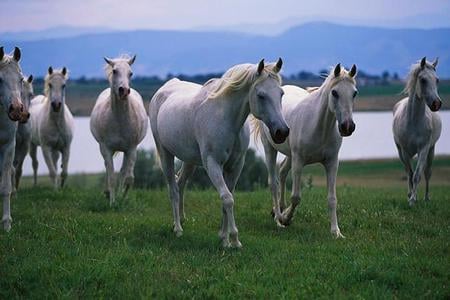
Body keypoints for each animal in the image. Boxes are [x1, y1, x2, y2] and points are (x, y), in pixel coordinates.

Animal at [89, 55, 148, 205]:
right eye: (114, 71)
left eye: (130, 73)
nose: (124, 91)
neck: (119, 120)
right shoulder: (106, 149)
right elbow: (111, 177)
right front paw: (112, 202)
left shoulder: (131, 149)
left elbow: (128, 178)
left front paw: (123, 198)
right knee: (108, 171)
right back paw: (107, 193)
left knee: (122, 172)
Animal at [148, 59, 288, 248]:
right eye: (261, 95)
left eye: (281, 94)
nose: (282, 132)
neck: (227, 119)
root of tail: (163, 90)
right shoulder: (212, 164)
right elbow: (227, 198)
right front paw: (234, 239)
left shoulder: (235, 166)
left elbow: (227, 200)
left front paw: (224, 238)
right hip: (165, 154)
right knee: (173, 189)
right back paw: (178, 229)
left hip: (189, 161)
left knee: (180, 182)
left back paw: (182, 220)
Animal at [255, 63, 356, 239]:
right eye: (335, 92)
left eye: (354, 93)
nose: (347, 127)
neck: (319, 126)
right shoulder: (299, 162)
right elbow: (296, 197)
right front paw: (286, 219)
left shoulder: (332, 163)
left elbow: (332, 199)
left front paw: (336, 232)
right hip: (271, 149)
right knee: (273, 182)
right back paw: (278, 217)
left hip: (290, 155)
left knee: (282, 172)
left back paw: (280, 208)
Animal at [392, 56, 442, 206]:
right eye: (423, 80)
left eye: (437, 80)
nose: (437, 104)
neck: (413, 120)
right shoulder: (404, 151)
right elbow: (410, 173)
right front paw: (410, 197)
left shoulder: (424, 149)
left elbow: (417, 175)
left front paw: (413, 200)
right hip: (401, 152)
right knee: (408, 171)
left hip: (431, 150)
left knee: (427, 173)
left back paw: (426, 197)